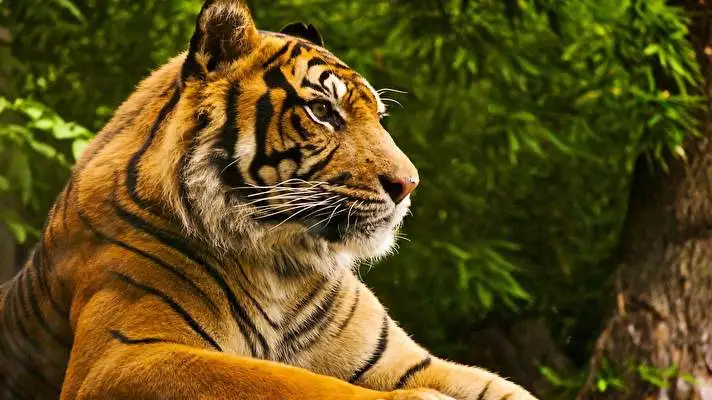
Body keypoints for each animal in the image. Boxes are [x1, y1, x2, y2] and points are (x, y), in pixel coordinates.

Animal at [0, 1, 538, 399]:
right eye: (322, 111)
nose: (408, 184)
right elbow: (293, 383)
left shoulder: (409, 361)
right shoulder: (124, 355)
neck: (282, 263)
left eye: (379, 117)